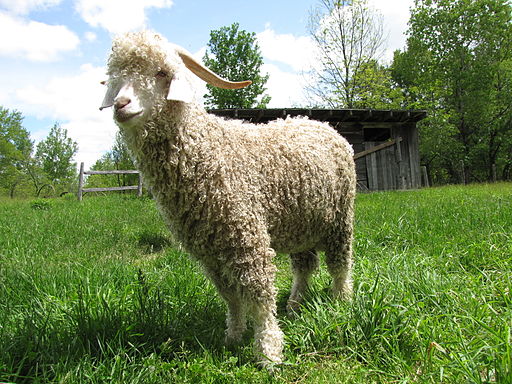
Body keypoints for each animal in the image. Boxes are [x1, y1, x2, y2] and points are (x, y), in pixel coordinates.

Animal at [100, 30, 356, 366]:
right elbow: (230, 296)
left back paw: (341, 300)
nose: (121, 105)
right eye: (115, 75)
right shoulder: (208, 250)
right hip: (301, 223)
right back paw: (295, 304)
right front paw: (233, 335)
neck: (207, 149)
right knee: (305, 265)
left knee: (340, 262)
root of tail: (323, 125)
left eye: (162, 72)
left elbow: (260, 294)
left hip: (340, 216)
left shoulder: (248, 236)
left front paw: (269, 350)